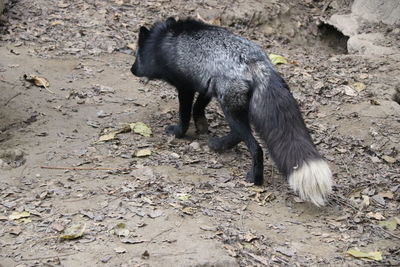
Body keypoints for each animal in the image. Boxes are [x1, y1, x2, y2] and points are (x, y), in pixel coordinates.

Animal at [130, 17, 332, 207]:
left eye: (137, 54)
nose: (132, 70)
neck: (161, 41)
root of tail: (258, 63)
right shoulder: (206, 87)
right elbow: (198, 107)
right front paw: (201, 124)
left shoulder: (185, 87)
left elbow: (185, 115)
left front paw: (178, 132)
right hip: (232, 106)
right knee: (238, 135)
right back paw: (218, 145)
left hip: (230, 110)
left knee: (254, 146)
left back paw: (254, 178)